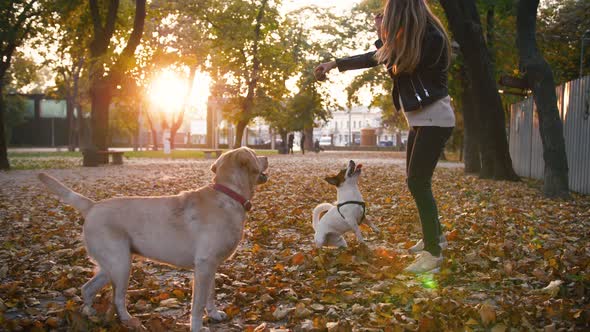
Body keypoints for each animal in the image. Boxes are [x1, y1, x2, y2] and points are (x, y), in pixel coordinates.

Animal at [40, 148, 272, 332]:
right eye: (254, 153)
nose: (267, 157)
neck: (229, 195)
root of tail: (92, 206)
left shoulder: (212, 266)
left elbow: (211, 295)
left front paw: (214, 314)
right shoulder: (204, 265)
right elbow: (197, 305)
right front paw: (197, 327)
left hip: (111, 266)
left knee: (87, 288)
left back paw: (89, 314)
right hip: (121, 265)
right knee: (117, 299)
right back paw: (128, 320)